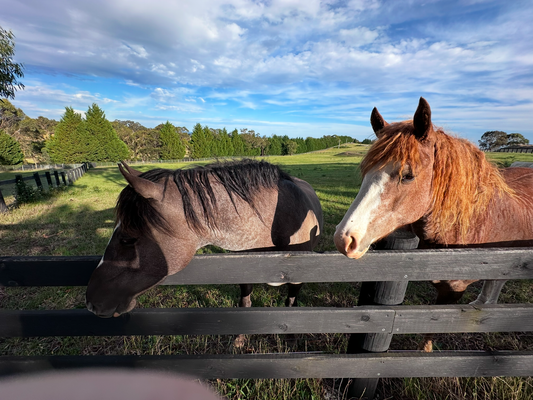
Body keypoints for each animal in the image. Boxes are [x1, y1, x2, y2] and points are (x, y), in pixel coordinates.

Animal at [85, 159, 322, 322]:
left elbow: (290, 306)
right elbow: (245, 304)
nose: (90, 302)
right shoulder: (245, 272)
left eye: (127, 238)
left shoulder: (299, 279)